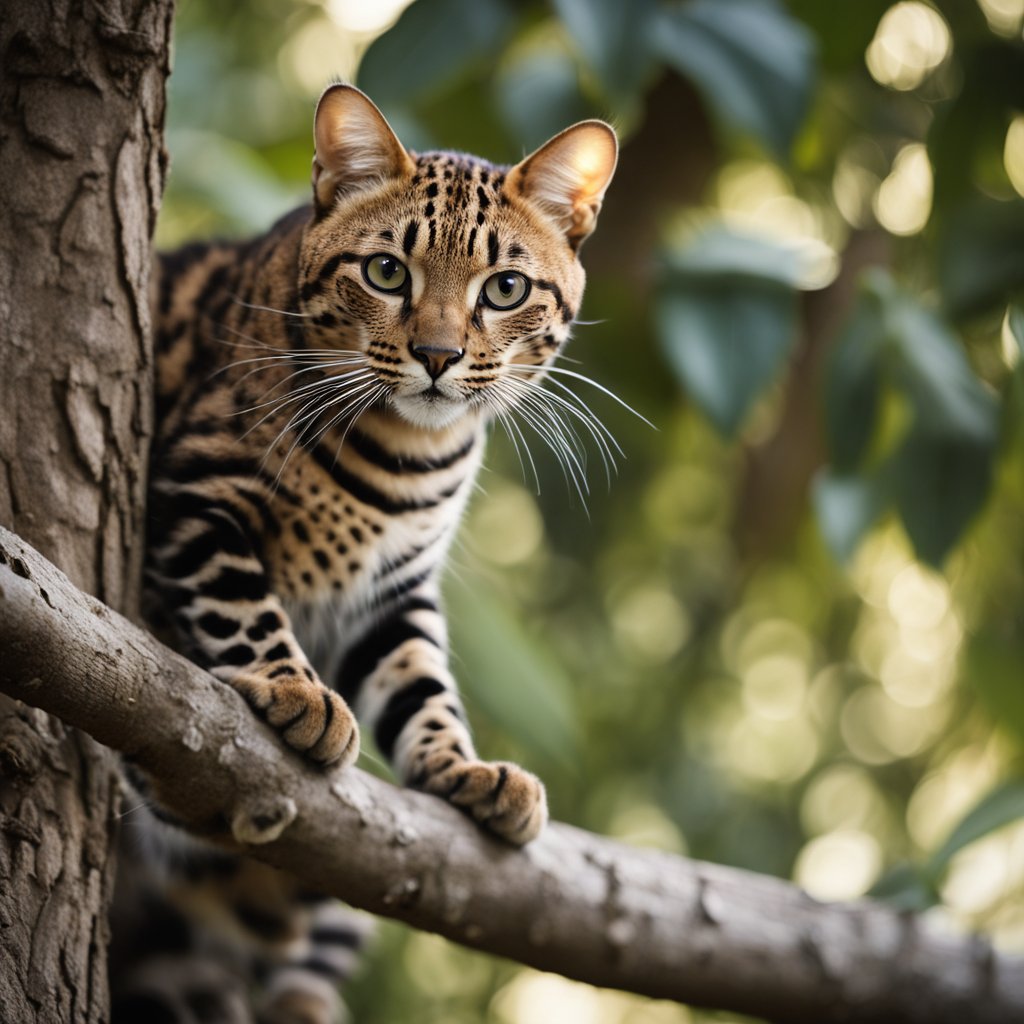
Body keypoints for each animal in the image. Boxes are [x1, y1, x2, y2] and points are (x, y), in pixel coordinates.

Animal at [116, 86, 618, 1024]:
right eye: (387, 273)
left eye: (505, 288)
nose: (438, 356)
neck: (412, 453)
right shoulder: (196, 489)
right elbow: (242, 600)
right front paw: (294, 689)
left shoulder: (395, 592)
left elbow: (421, 684)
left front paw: (465, 769)